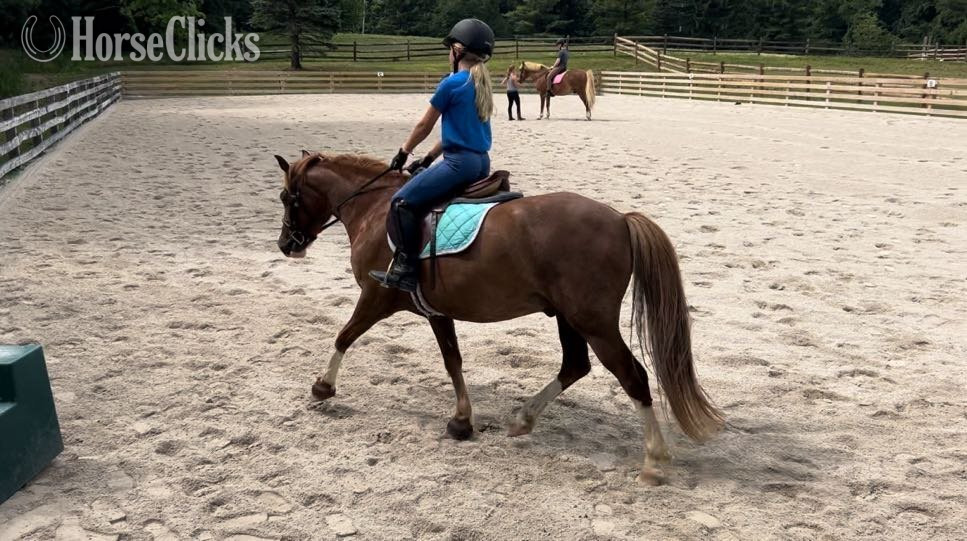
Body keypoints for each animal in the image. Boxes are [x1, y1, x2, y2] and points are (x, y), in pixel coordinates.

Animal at [274, 151, 723, 484]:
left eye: (286, 198)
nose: (286, 245)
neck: (376, 207)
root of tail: (620, 219)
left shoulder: (375, 298)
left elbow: (343, 336)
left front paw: (322, 386)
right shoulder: (437, 310)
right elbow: (452, 361)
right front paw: (461, 421)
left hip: (593, 322)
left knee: (632, 376)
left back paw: (653, 460)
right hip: (569, 317)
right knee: (575, 365)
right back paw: (524, 418)